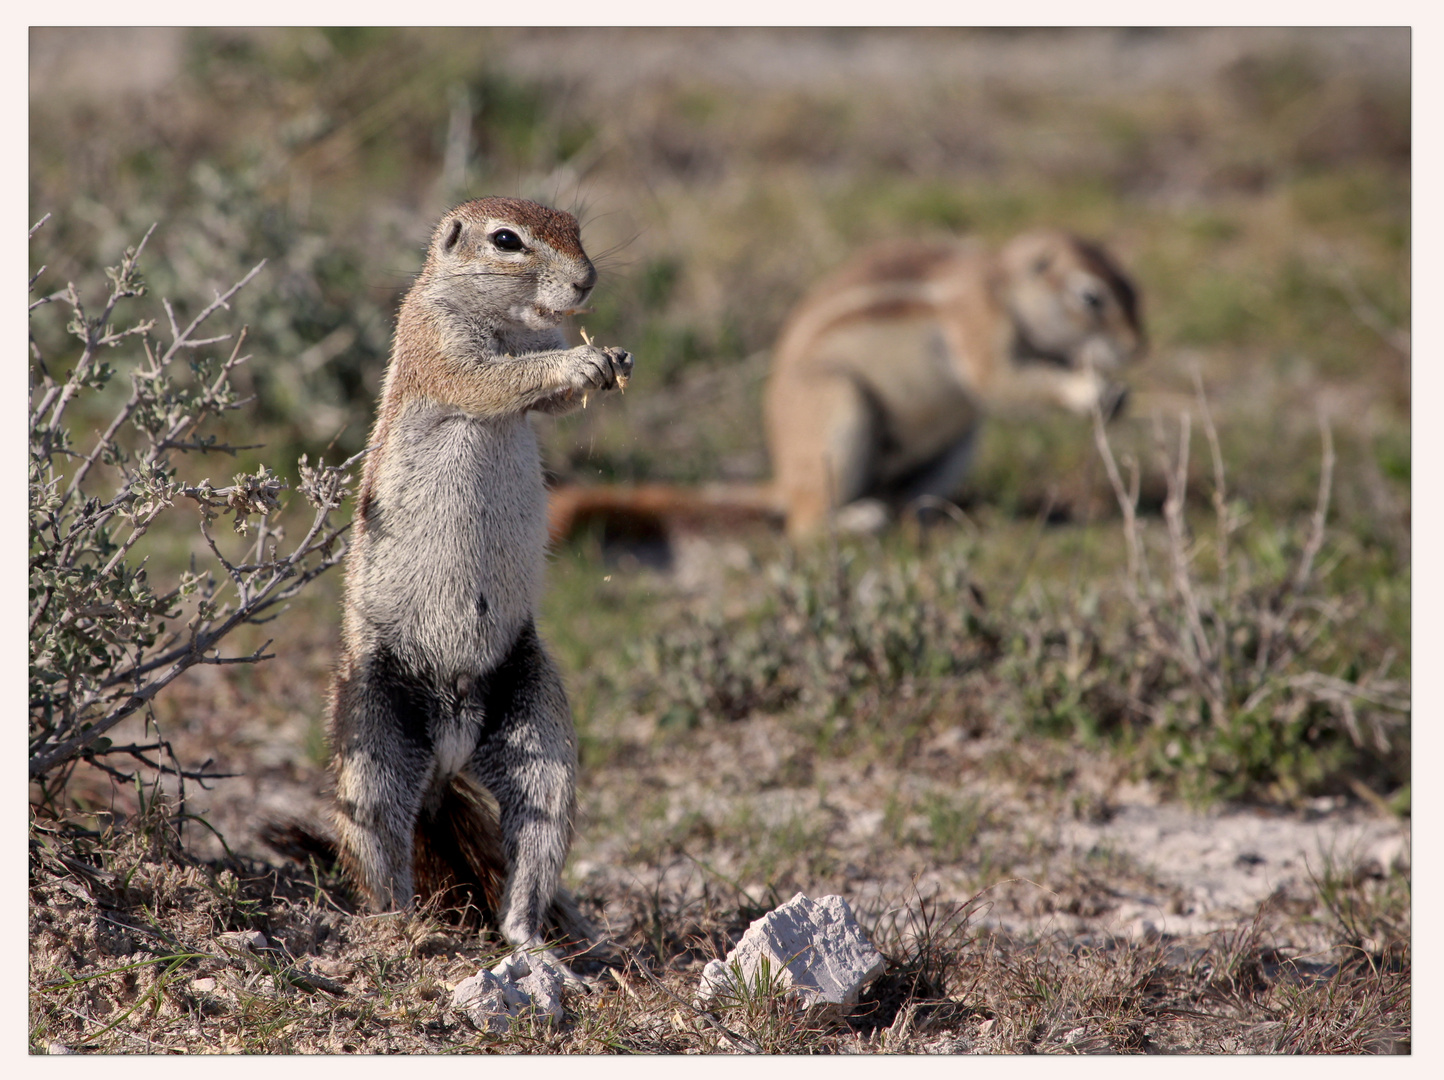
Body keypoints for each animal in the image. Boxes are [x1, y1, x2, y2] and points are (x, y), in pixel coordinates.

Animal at [333, 193, 638, 952]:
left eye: (576, 229)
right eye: (508, 241)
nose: (587, 281)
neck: (508, 321)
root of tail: (448, 754)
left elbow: (537, 397)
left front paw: (612, 357)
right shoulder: (440, 345)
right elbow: (493, 380)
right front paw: (579, 362)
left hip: (540, 734)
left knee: (534, 840)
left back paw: (530, 938)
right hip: (371, 738)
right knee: (382, 850)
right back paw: (405, 930)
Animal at [545, 231, 1143, 542]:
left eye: (1132, 285)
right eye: (1091, 297)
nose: (1139, 346)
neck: (1003, 288)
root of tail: (785, 480)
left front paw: (1113, 392)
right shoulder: (977, 324)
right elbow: (1002, 382)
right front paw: (1091, 392)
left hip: (957, 445)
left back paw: (927, 516)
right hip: (841, 408)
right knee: (806, 524)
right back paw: (859, 519)